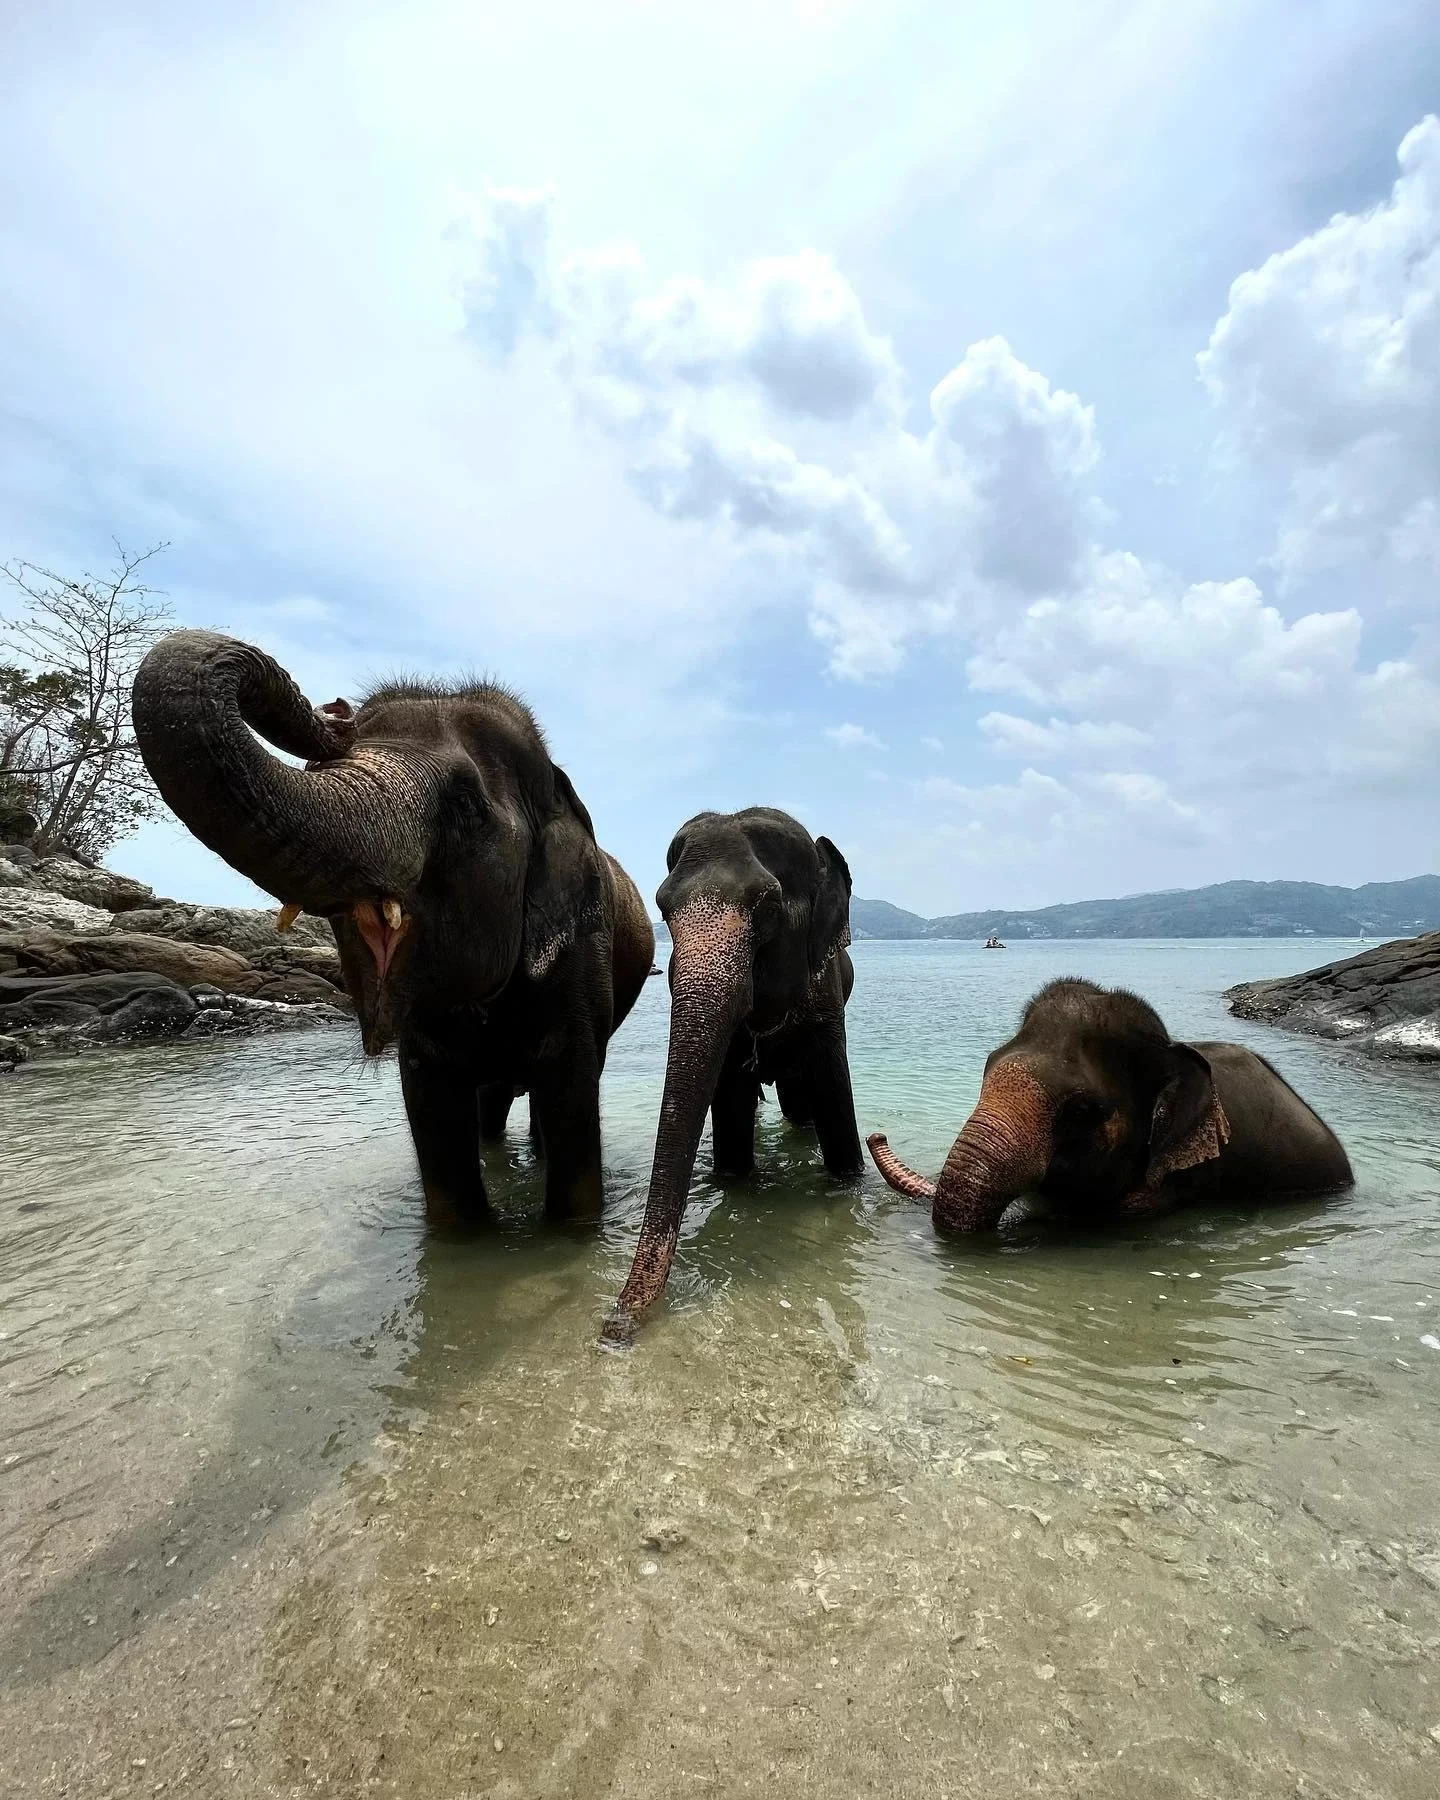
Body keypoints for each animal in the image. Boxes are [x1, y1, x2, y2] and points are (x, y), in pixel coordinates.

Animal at [133, 630, 651, 1224]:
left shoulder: (582, 961)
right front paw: (464, 1235)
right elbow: (435, 1121)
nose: (335, 712)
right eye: (317, 768)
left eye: (466, 805)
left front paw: (570, 1230)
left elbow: (570, 1100)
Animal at [604, 806, 860, 1339]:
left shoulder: (827, 1003)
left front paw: (846, 1178)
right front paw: (734, 1178)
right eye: (661, 908)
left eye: (769, 906)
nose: (613, 1328)